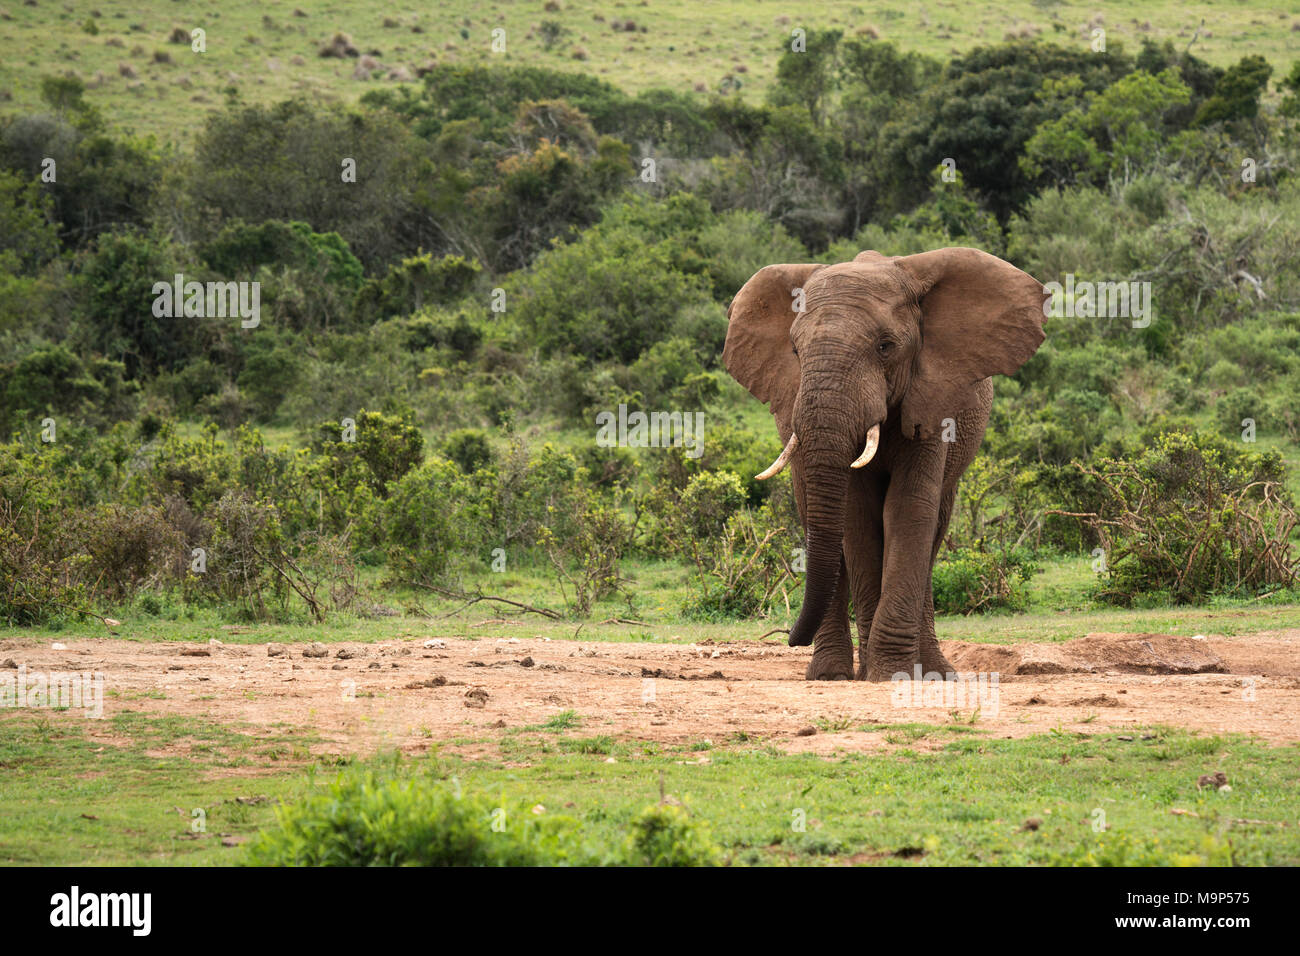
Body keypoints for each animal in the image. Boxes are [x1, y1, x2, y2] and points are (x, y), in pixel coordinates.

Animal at [722, 247, 1045, 681]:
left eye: (885, 347)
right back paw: (829, 674)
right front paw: (875, 671)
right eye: (795, 351)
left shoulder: (932, 396)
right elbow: (858, 519)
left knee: (933, 533)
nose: (790, 639)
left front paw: (890, 673)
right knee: (815, 521)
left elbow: (907, 512)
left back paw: (934, 672)